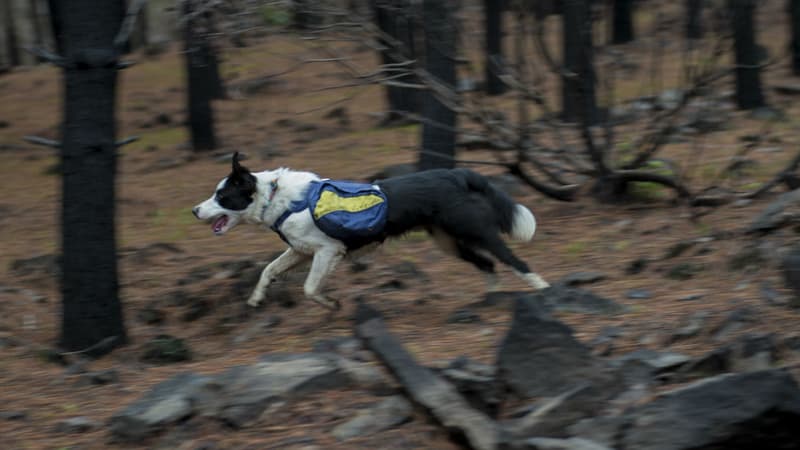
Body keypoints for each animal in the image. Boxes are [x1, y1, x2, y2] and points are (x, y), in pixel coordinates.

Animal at [192, 153, 552, 312]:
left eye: (221, 196)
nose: (194, 210)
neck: (274, 196)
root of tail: (459, 173)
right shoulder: (299, 250)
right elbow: (268, 270)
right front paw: (256, 297)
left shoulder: (327, 251)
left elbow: (310, 287)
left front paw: (330, 302)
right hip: (450, 242)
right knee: (488, 265)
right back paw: (490, 299)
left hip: (476, 233)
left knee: (515, 261)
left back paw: (543, 290)